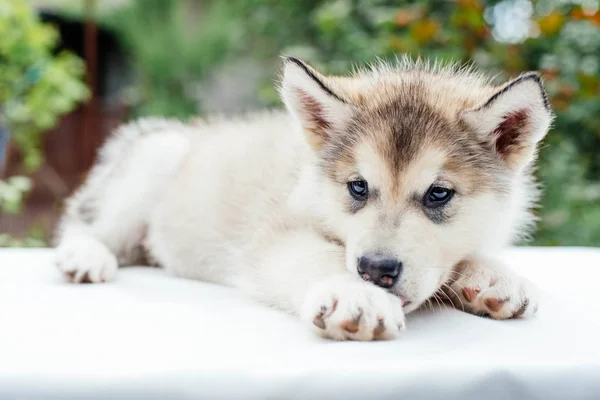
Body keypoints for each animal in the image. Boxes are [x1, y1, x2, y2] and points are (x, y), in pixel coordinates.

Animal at [55, 57, 552, 340]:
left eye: (439, 194)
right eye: (357, 187)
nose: (376, 270)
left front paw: (492, 276)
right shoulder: (275, 235)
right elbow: (317, 257)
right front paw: (354, 293)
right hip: (157, 158)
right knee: (85, 223)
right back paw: (85, 255)